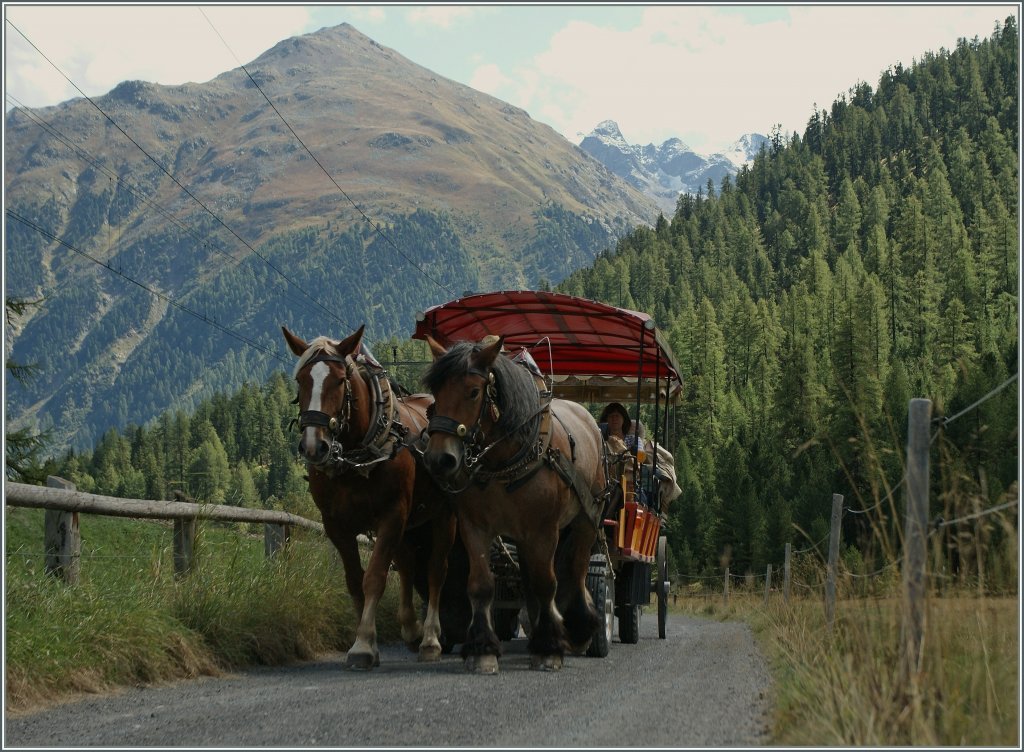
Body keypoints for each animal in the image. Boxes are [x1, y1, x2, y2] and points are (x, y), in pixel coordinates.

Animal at [282, 325, 454, 672]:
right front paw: (367, 640)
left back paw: (430, 639)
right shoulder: (336, 524)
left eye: (339, 380)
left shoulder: (391, 515)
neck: (356, 459)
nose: (314, 446)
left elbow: (374, 577)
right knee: (407, 563)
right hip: (410, 522)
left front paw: (362, 645)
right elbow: (354, 579)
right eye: (301, 380)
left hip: (443, 515)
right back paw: (411, 629)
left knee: (435, 570)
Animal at [421, 338, 606, 676]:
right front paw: (483, 650)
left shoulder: (544, 530)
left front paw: (549, 650)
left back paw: (580, 629)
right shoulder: (475, 527)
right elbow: (481, 585)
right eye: (436, 393)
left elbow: (548, 583)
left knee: (577, 570)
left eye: (473, 392)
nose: (440, 459)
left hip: (586, 520)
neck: (505, 460)